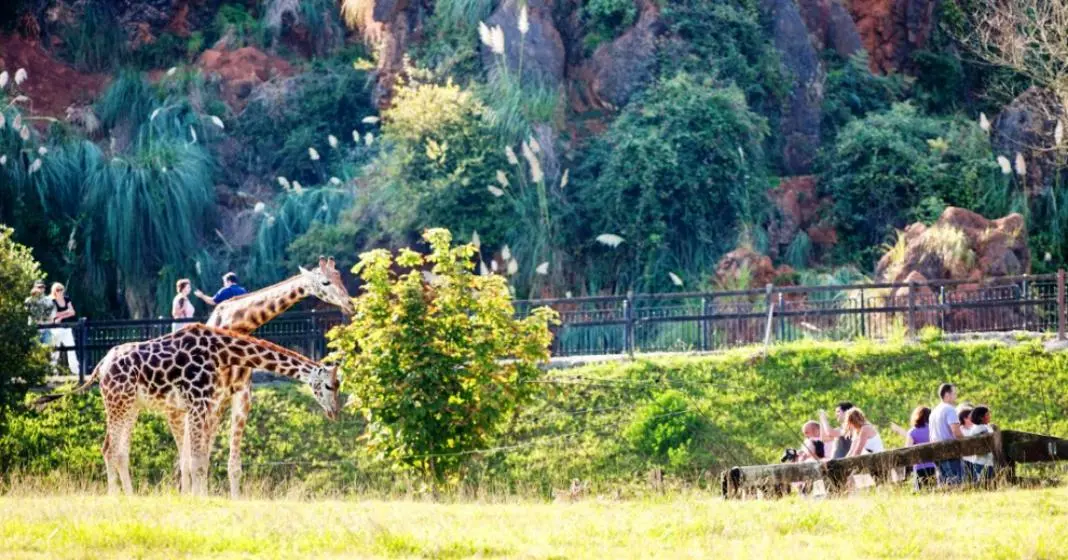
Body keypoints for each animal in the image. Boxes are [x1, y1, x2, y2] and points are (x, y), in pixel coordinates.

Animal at [73, 320, 339, 495]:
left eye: (338, 385)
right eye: (329, 385)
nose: (335, 412)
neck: (221, 352)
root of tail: (101, 366)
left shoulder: (207, 405)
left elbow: (200, 460)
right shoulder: (198, 403)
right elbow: (197, 461)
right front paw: (199, 500)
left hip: (130, 406)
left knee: (120, 451)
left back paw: (130, 497)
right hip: (117, 402)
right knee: (108, 449)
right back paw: (115, 497)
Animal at [203, 255, 358, 495]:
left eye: (339, 277)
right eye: (325, 282)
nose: (350, 304)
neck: (236, 325)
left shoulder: (242, 394)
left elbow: (234, 465)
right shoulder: (215, 395)